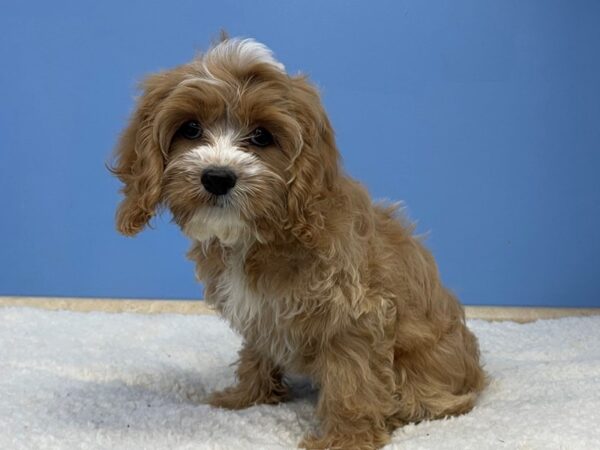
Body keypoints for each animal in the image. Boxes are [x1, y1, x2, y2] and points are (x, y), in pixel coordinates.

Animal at [113, 36, 488, 450]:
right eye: (191, 128)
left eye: (262, 136)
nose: (217, 177)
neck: (255, 237)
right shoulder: (260, 312)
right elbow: (257, 350)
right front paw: (248, 396)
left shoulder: (353, 311)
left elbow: (353, 378)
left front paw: (346, 438)